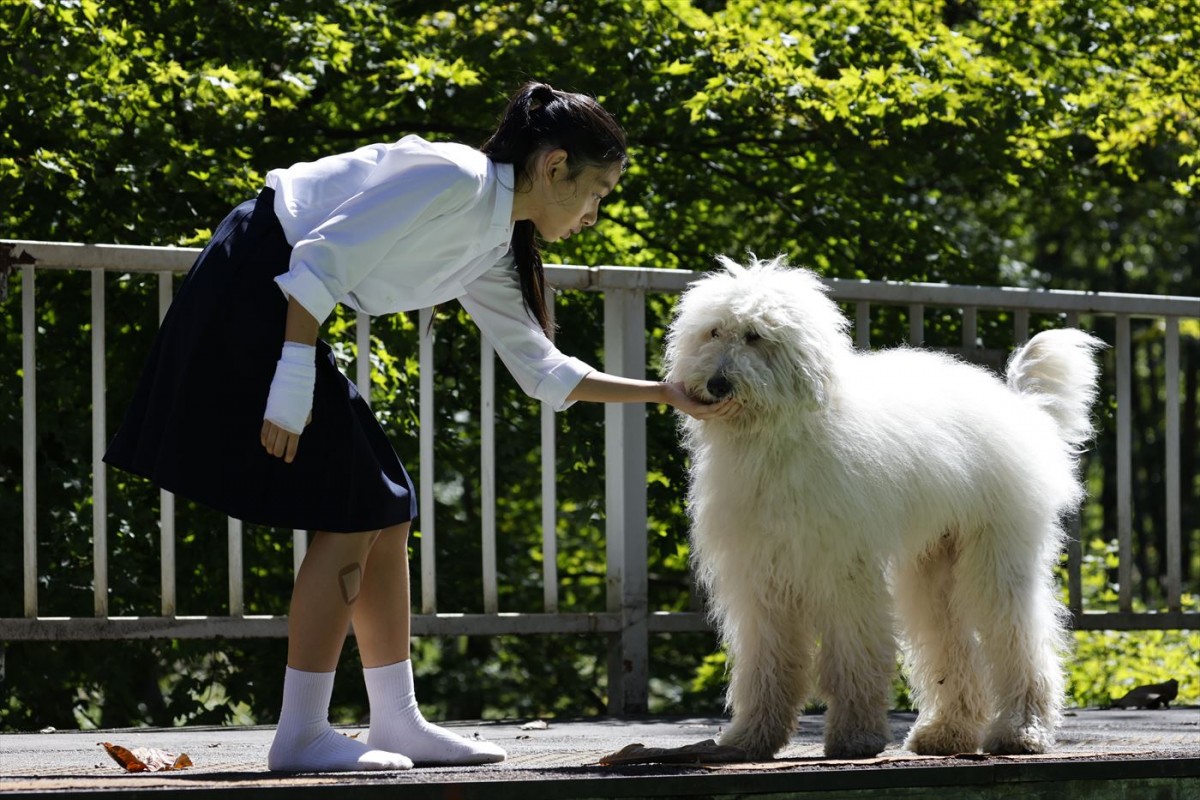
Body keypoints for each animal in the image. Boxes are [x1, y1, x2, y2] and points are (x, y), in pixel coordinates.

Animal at [672, 257, 1099, 762]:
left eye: (755, 335)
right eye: (713, 332)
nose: (716, 384)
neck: (780, 435)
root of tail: (1021, 408)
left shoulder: (843, 570)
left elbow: (852, 656)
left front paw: (855, 737)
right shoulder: (763, 580)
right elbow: (767, 665)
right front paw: (751, 737)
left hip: (996, 557)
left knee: (1019, 642)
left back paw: (1021, 731)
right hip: (934, 567)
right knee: (950, 646)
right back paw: (946, 733)